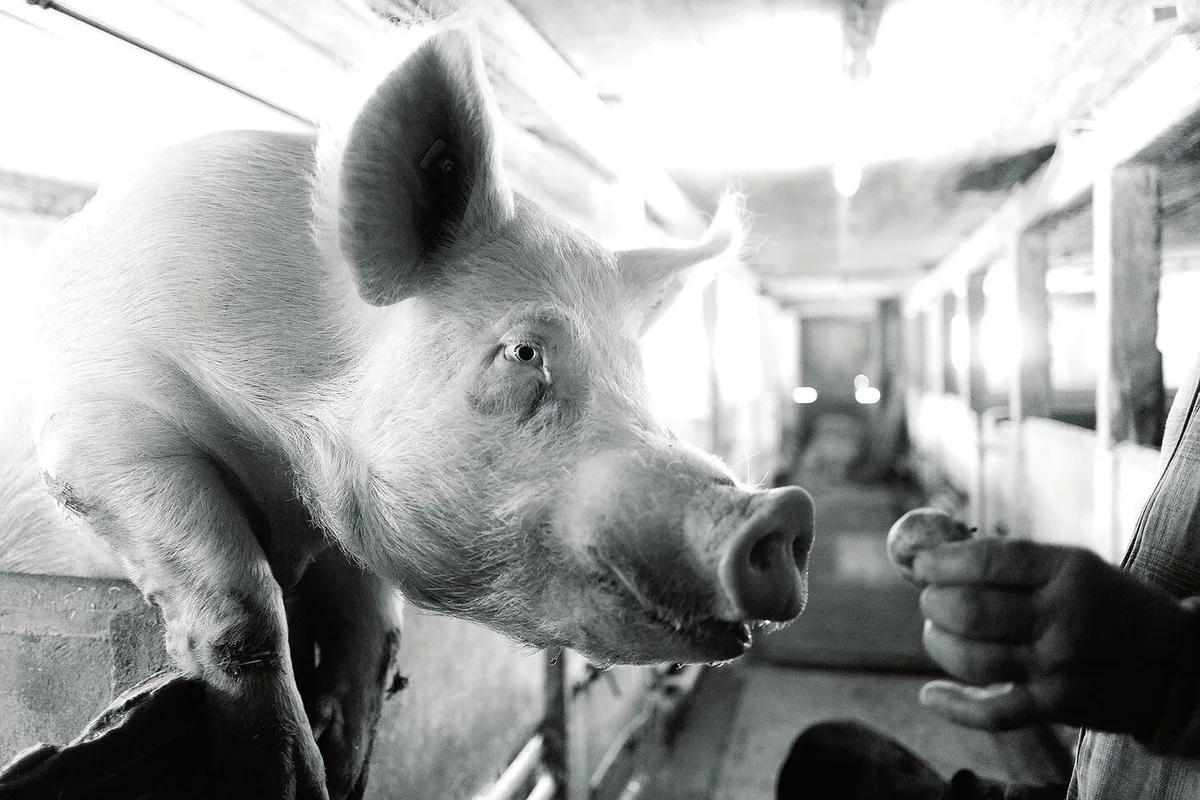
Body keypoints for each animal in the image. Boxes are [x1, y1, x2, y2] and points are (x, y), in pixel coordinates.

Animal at [2, 25, 815, 800]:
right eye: (523, 352)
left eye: (637, 372)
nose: (783, 508)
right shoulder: (93, 427)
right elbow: (244, 600)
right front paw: (291, 782)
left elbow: (375, 622)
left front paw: (346, 766)